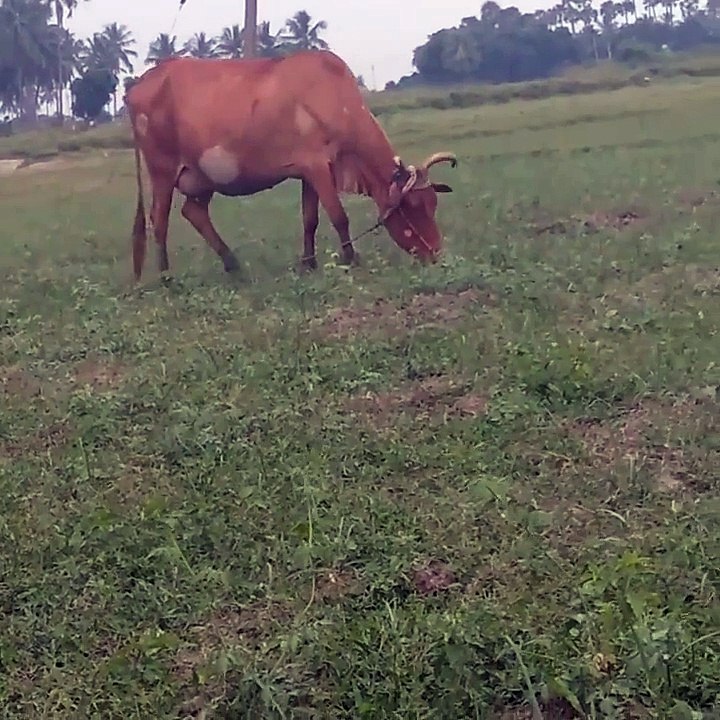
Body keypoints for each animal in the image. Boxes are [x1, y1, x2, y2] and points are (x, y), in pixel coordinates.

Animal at [125, 50, 457, 280]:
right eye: (412, 206)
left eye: (433, 203)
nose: (436, 254)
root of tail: (139, 86)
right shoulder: (318, 166)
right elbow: (339, 217)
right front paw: (352, 260)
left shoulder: (308, 173)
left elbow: (310, 219)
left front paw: (309, 264)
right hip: (162, 169)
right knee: (160, 220)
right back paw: (167, 277)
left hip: (202, 176)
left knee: (193, 212)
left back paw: (234, 265)